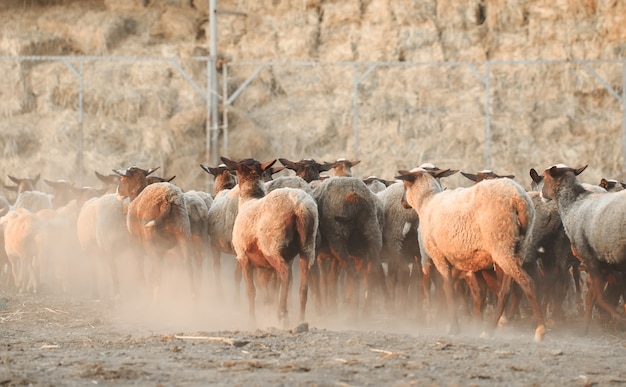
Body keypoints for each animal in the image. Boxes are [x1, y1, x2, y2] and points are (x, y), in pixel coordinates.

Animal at [398, 168, 544, 342]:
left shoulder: (438, 255)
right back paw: (491, 328)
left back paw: (540, 329)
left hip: (502, 245)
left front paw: (454, 327)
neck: (427, 202)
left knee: (527, 282)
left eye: (405, 185)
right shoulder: (462, 260)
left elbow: (448, 287)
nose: (402, 202)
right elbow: (457, 288)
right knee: (506, 290)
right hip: (517, 248)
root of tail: (518, 198)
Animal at [536, 164, 624, 334]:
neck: (573, 205)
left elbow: (595, 296)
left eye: (546, 177)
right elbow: (597, 294)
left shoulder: (591, 259)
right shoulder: (603, 264)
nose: (541, 194)